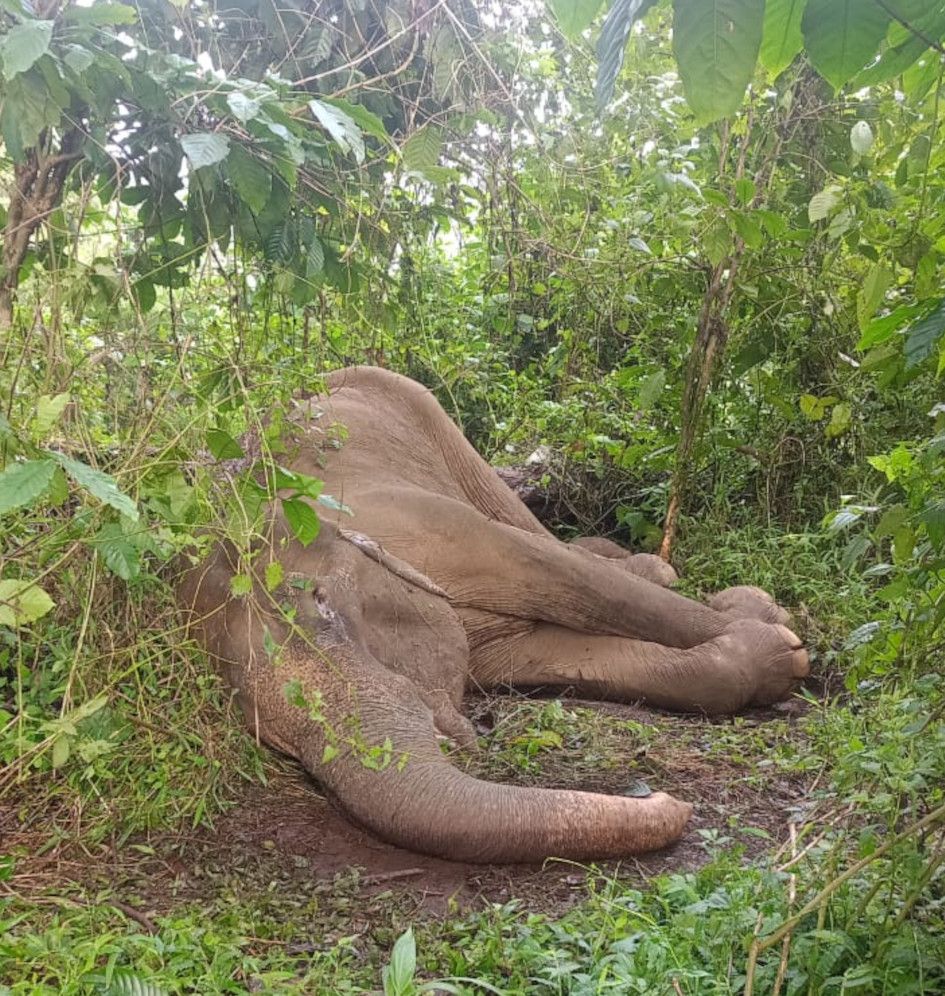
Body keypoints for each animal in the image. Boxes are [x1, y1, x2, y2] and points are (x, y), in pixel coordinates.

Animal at [177, 366, 809, 864]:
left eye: (322, 603)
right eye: (269, 736)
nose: (659, 795)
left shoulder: (423, 521)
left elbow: (561, 576)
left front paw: (785, 644)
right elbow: (547, 654)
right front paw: (773, 651)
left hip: (421, 409)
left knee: (524, 522)